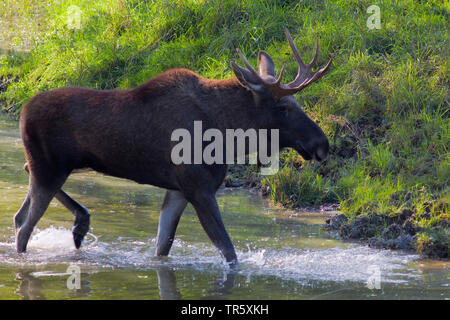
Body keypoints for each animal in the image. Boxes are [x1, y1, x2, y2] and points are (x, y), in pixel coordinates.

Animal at [14, 27, 332, 266]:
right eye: (282, 107)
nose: (322, 144)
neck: (228, 135)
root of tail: (22, 111)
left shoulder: (178, 190)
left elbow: (163, 246)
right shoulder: (198, 186)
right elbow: (229, 252)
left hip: (57, 166)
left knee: (22, 200)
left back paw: (81, 222)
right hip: (51, 168)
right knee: (23, 224)